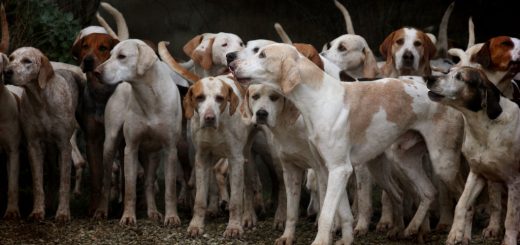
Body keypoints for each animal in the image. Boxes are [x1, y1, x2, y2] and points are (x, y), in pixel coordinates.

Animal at [4, 47, 84, 221]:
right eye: (11, 58)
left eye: (27, 61)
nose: (6, 72)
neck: (41, 101)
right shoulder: (33, 145)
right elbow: (37, 183)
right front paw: (38, 211)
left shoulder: (64, 146)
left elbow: (64, 183)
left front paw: (63, 213)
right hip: (49, 150)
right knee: (53, 174)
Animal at [183, 75, 248, 237]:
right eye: (199, 97)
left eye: (220, 98)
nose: (209, 117)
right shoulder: (202, 158)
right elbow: (200, 198)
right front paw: (196, 225)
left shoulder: (236, 159)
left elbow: (236, 200)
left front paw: (234, 227)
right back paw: (214, 207)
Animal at [230, 43, 466, 244]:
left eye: (262, 54)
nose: (231, 64)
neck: (319, 99)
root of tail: (442, 94)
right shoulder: (328, 170)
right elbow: (343, 213)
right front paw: (346, 240)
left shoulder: (339, 169)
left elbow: (326, 214)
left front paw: (321, 241)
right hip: (403, 160)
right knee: (428, 192)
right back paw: (411, 228)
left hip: (443, 163)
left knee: (462, 195)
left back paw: (456, 233)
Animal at [426, 66, 520, 245]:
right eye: (448, 71)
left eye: (460, 77)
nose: (429, 78)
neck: (485, 128)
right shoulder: (477, 173)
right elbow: (462, 204)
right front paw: (456, 233)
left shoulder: (515, 181)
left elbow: (511, 219)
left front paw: (509, 240)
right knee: (495, 206)